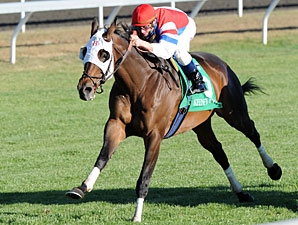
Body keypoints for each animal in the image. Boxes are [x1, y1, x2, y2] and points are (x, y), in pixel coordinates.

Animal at [66, 18, 282, 222]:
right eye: (85, 51)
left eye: (104, 54)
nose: (85, 89)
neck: (140, 84)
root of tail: (220, 62)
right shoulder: (116, 125)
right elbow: (103, 157)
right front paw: (81, 188)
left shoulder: (154, 135)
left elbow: (144, 177)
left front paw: (137, 215)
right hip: (201, 125)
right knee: (219, 152)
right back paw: (241, 193)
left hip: (234, 113)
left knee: (253, 133)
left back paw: (274, 170)